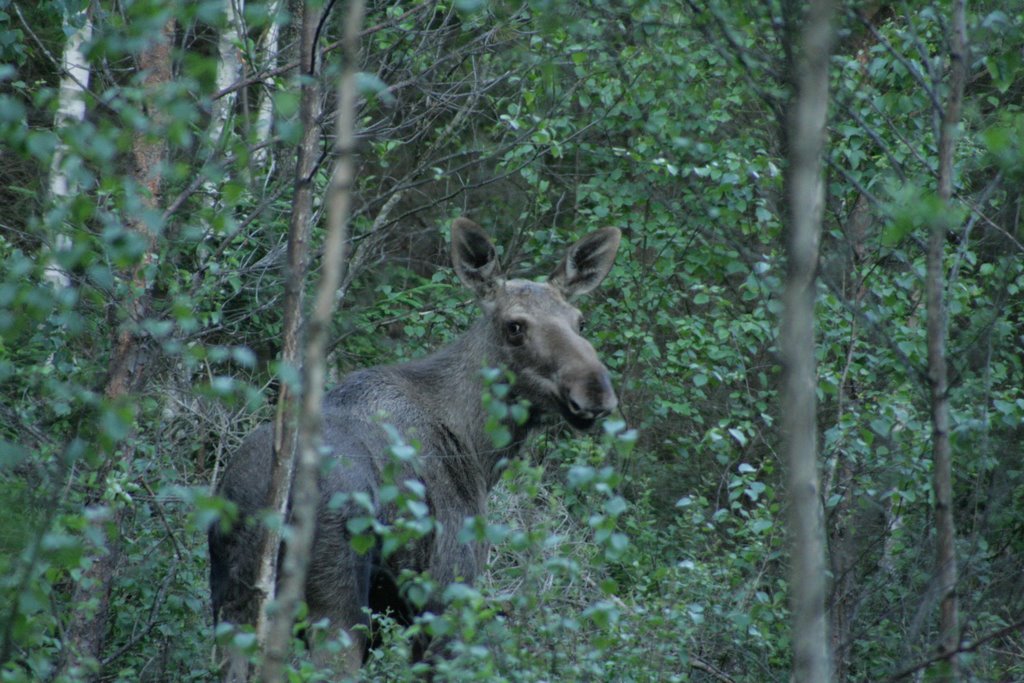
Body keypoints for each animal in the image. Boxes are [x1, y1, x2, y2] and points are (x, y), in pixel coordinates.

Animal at [209, 218, 614, 671]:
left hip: (233, 604)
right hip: (335, 608)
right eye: (515, 326)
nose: (595, 390)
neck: (479, 449)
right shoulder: (445, 598)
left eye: (580, 321)